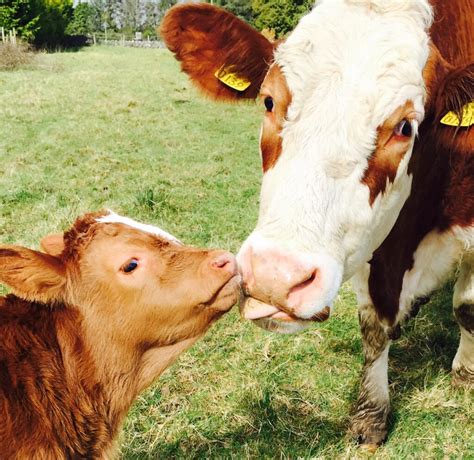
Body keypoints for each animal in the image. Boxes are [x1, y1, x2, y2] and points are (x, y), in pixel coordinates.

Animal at [161, 0, 472, 448]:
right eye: (269, 101)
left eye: (405, 127)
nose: (274, 276)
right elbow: (374, 325)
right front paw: (371, 413)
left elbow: (466, 307)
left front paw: (464, 375)